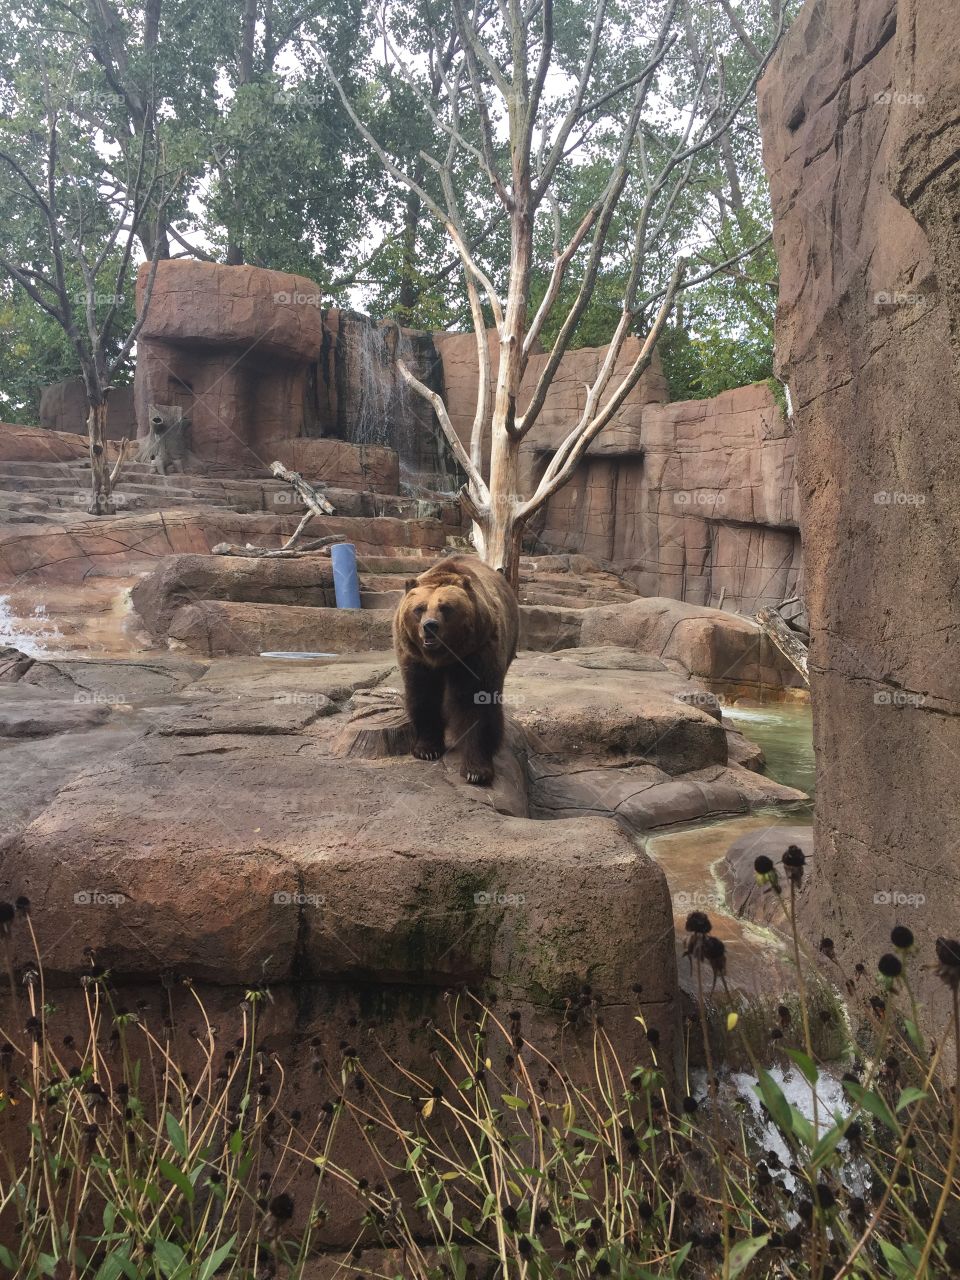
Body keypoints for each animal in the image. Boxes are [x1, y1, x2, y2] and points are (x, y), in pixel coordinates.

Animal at [393, 555, 520, 786]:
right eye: (419, 608)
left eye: (445, 607)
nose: (430, 626)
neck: (444, 656)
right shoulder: (416, 658)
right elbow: (423, 696)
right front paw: (426, 749)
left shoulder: (478, 651)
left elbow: (476, 702)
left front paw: (476, 770)